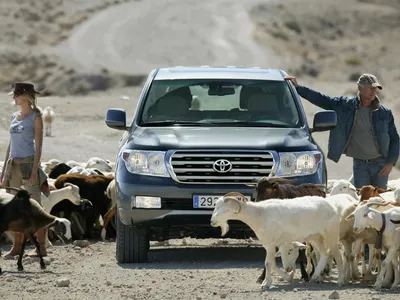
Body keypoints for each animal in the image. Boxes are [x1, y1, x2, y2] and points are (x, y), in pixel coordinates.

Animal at [211, 192, 352, 288]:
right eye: (216, 206)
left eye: (226, 209)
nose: (212, 221)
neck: (258, 214)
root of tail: (332, 206)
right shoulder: (270, 245)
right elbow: (272, 263)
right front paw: (286, 278)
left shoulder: (270, 244)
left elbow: (268, 263)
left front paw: (266, 284)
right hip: (315, 236)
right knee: (323, 253)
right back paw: (315, 276)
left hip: (330, 234)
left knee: (337, 255)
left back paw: (340, 281)